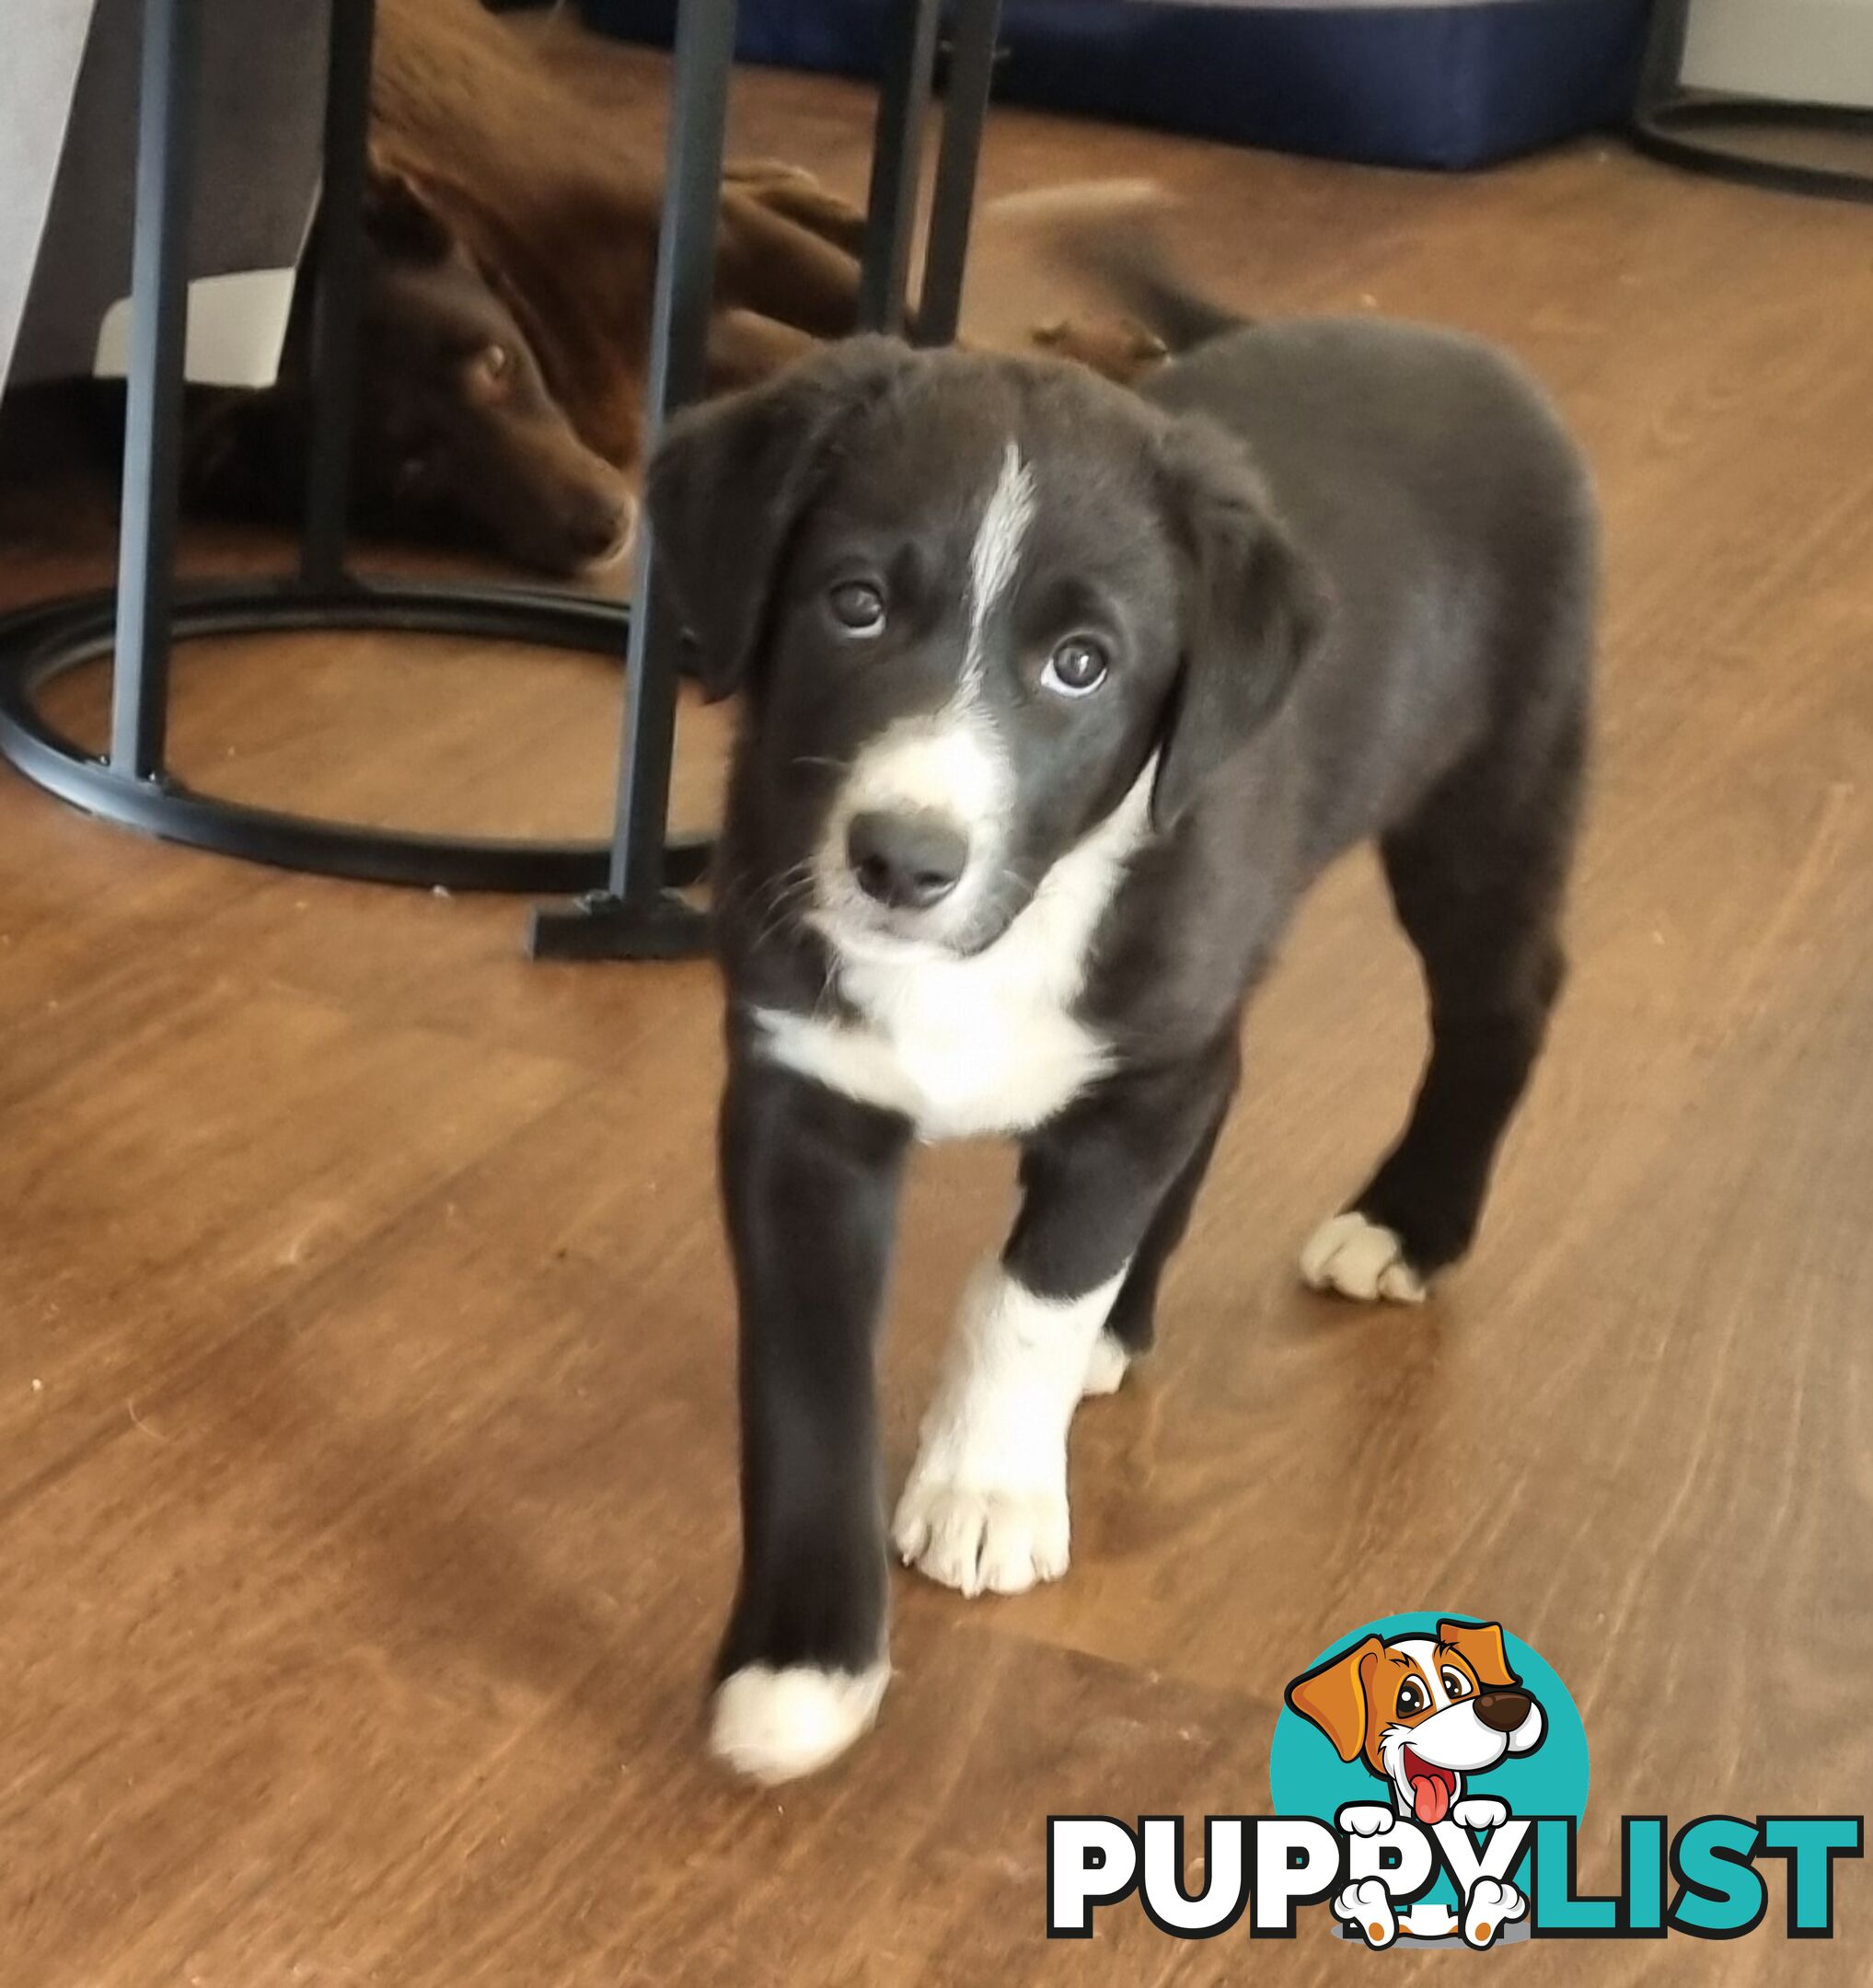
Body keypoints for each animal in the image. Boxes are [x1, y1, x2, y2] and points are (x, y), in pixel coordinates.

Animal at [648, 290, 1598, 1789]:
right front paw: (804, 1659)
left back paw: (1407, 1224)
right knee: (1230, 1073)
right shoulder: (802, 1098)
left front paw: (987, 1482)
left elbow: (1034, 1290)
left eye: (1079, 666)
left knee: (1498, 1004)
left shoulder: (1134, 1072)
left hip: (1491, 792)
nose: (901, 863)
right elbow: (806, 1395)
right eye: (853, 604)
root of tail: (1456, 345)